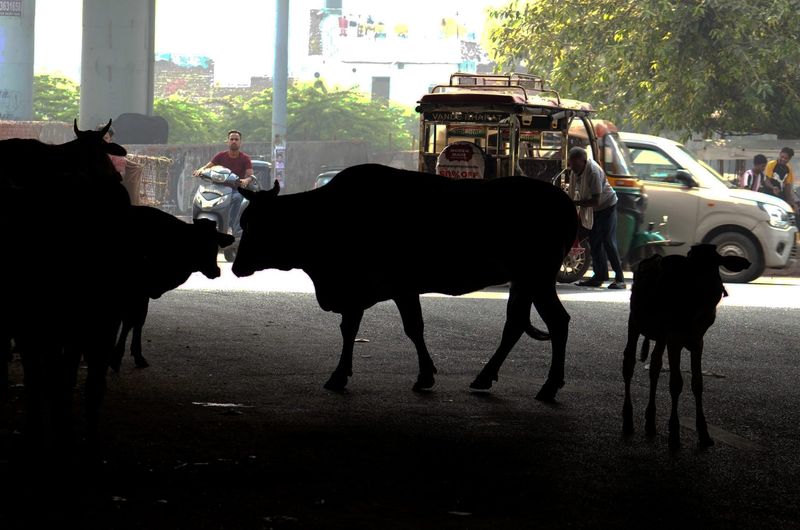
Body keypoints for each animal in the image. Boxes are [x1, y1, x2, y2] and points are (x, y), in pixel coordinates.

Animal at [111, 207, 235, 370]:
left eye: (215, 244)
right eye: (201, 243)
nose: (216, 271)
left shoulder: (142, 293)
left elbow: (137, 321)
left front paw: (135, 356)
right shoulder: (136, 291)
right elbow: (130, 321)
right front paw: (118, 357)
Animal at [232, 163, 578, 401]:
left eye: (261, 224)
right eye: (244, 221)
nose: (236, 266)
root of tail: (563, 200)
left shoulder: (389, 287)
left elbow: (407, 328)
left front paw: (420, 375)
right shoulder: (371, 291)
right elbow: (360, 329)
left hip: (538, 277)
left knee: (557, 322)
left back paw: (549, 387)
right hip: (525, 281)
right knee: (516, 323)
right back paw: (485, 377)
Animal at [622, 244, 750, 448]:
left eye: (716, 263)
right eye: (693, 267)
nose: (714, 291)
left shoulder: (698, 341)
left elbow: (697, 383)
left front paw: (704, 433)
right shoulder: (674, 339)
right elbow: (676, 383)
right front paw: (674, 434)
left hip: (660, 335)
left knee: (655, 366)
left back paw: (650, 422)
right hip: (634, 321)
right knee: (628, 363)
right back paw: (627, 420)